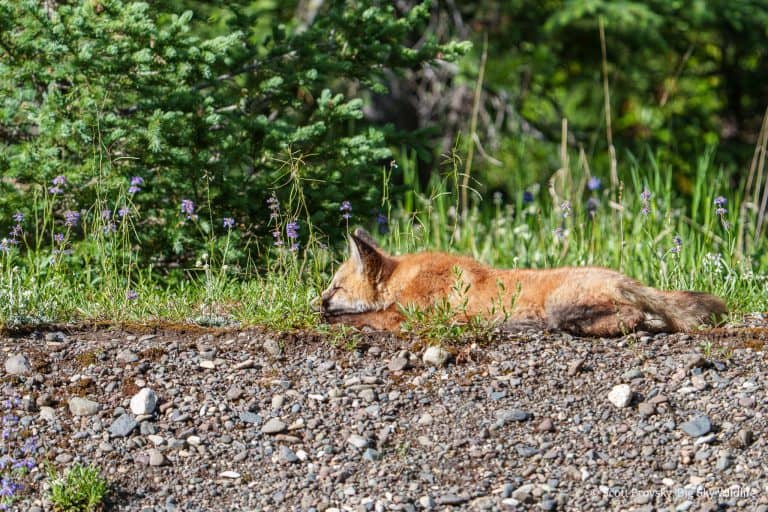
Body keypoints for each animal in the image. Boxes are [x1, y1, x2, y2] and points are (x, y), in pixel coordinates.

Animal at [314, 228, 727, 337]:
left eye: (335, 287)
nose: (316, 302)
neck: (404, 279)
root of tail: (624, 277)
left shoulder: (412, 318)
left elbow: (362, 318)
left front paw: (331, 320)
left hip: (562, 307)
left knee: (631, 318)